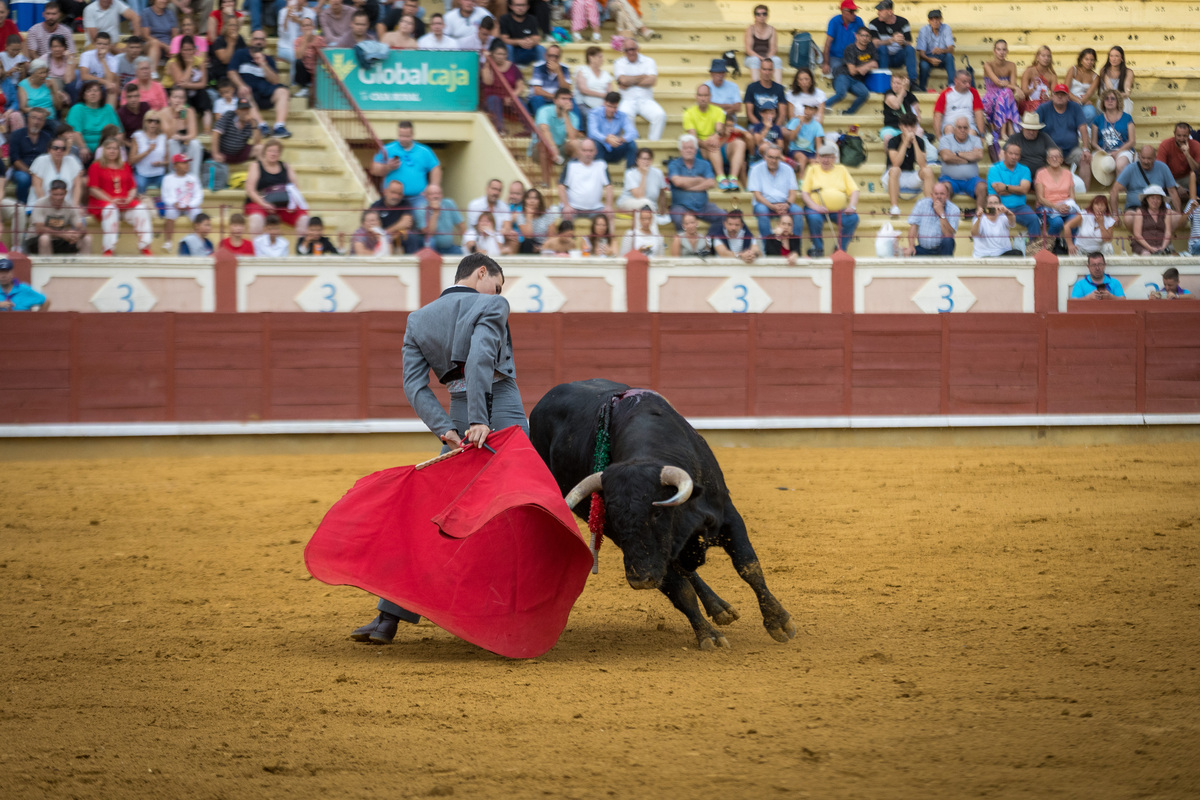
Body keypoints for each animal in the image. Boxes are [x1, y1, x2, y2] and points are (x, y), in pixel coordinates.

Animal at [532, 376, 796, 652]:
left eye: (657, 513)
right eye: (612, 517)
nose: (640, 580)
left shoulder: (728, 516)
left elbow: (748, 566)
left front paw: (778, 622)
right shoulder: (650, 552)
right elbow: (680, 591)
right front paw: (708, 636)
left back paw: (720, 608)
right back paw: (717, 609)